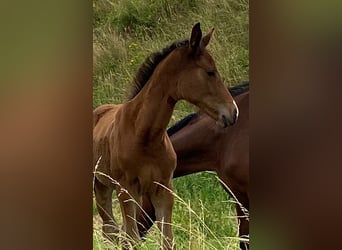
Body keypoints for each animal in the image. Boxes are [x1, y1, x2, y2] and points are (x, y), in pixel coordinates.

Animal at [93, 22, 238, 249]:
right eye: (210, 72)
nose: (233, 112)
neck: (145, 136)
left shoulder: (164, 190)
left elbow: (167, 241)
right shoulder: (127, 190)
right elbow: (132, 238)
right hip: (102, 187)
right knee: (113, 231)